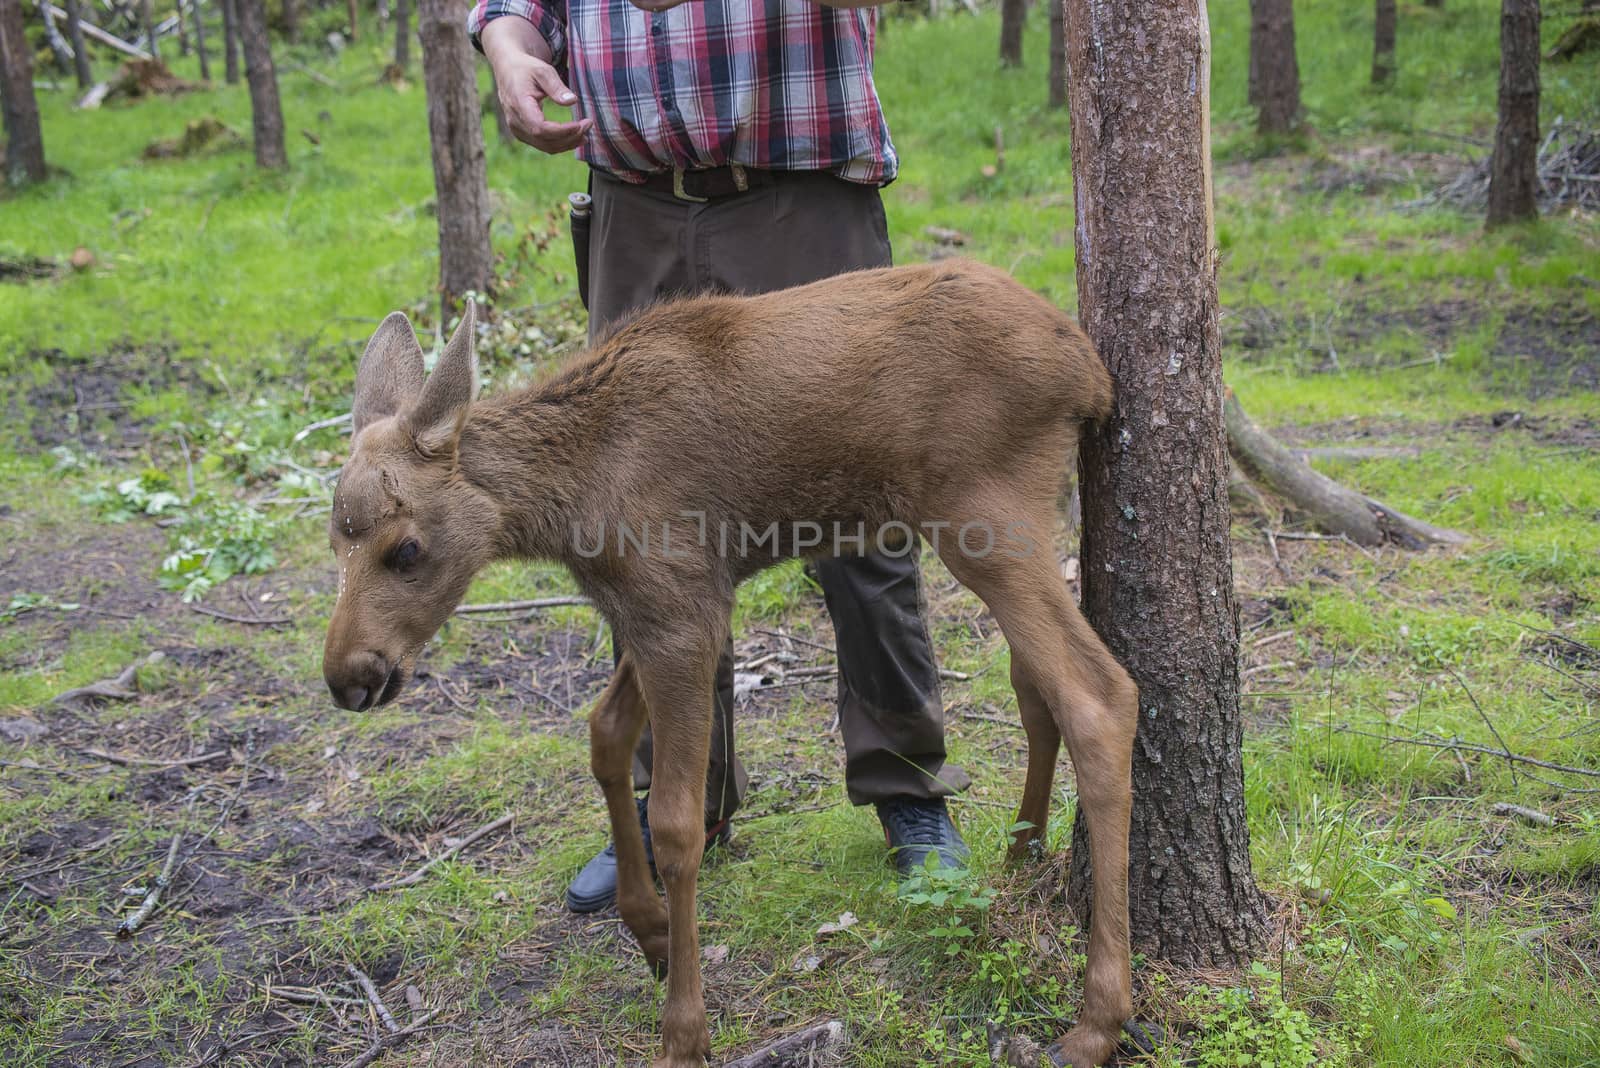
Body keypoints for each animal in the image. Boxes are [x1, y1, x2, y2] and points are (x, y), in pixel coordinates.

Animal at [321, 260, 1139, 1068]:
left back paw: (1098, 1019)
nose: (347, 675)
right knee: (1034, 688)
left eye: (406, 549)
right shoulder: (664, 608)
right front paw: (650, 931)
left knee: (1098, 694)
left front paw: (685, 1032)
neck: (571, 504)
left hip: (986, 513)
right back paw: (1022, 855)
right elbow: (605, 734)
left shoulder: (682, 609)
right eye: (335, 540)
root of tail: (1090, 373)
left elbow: (679, 823)